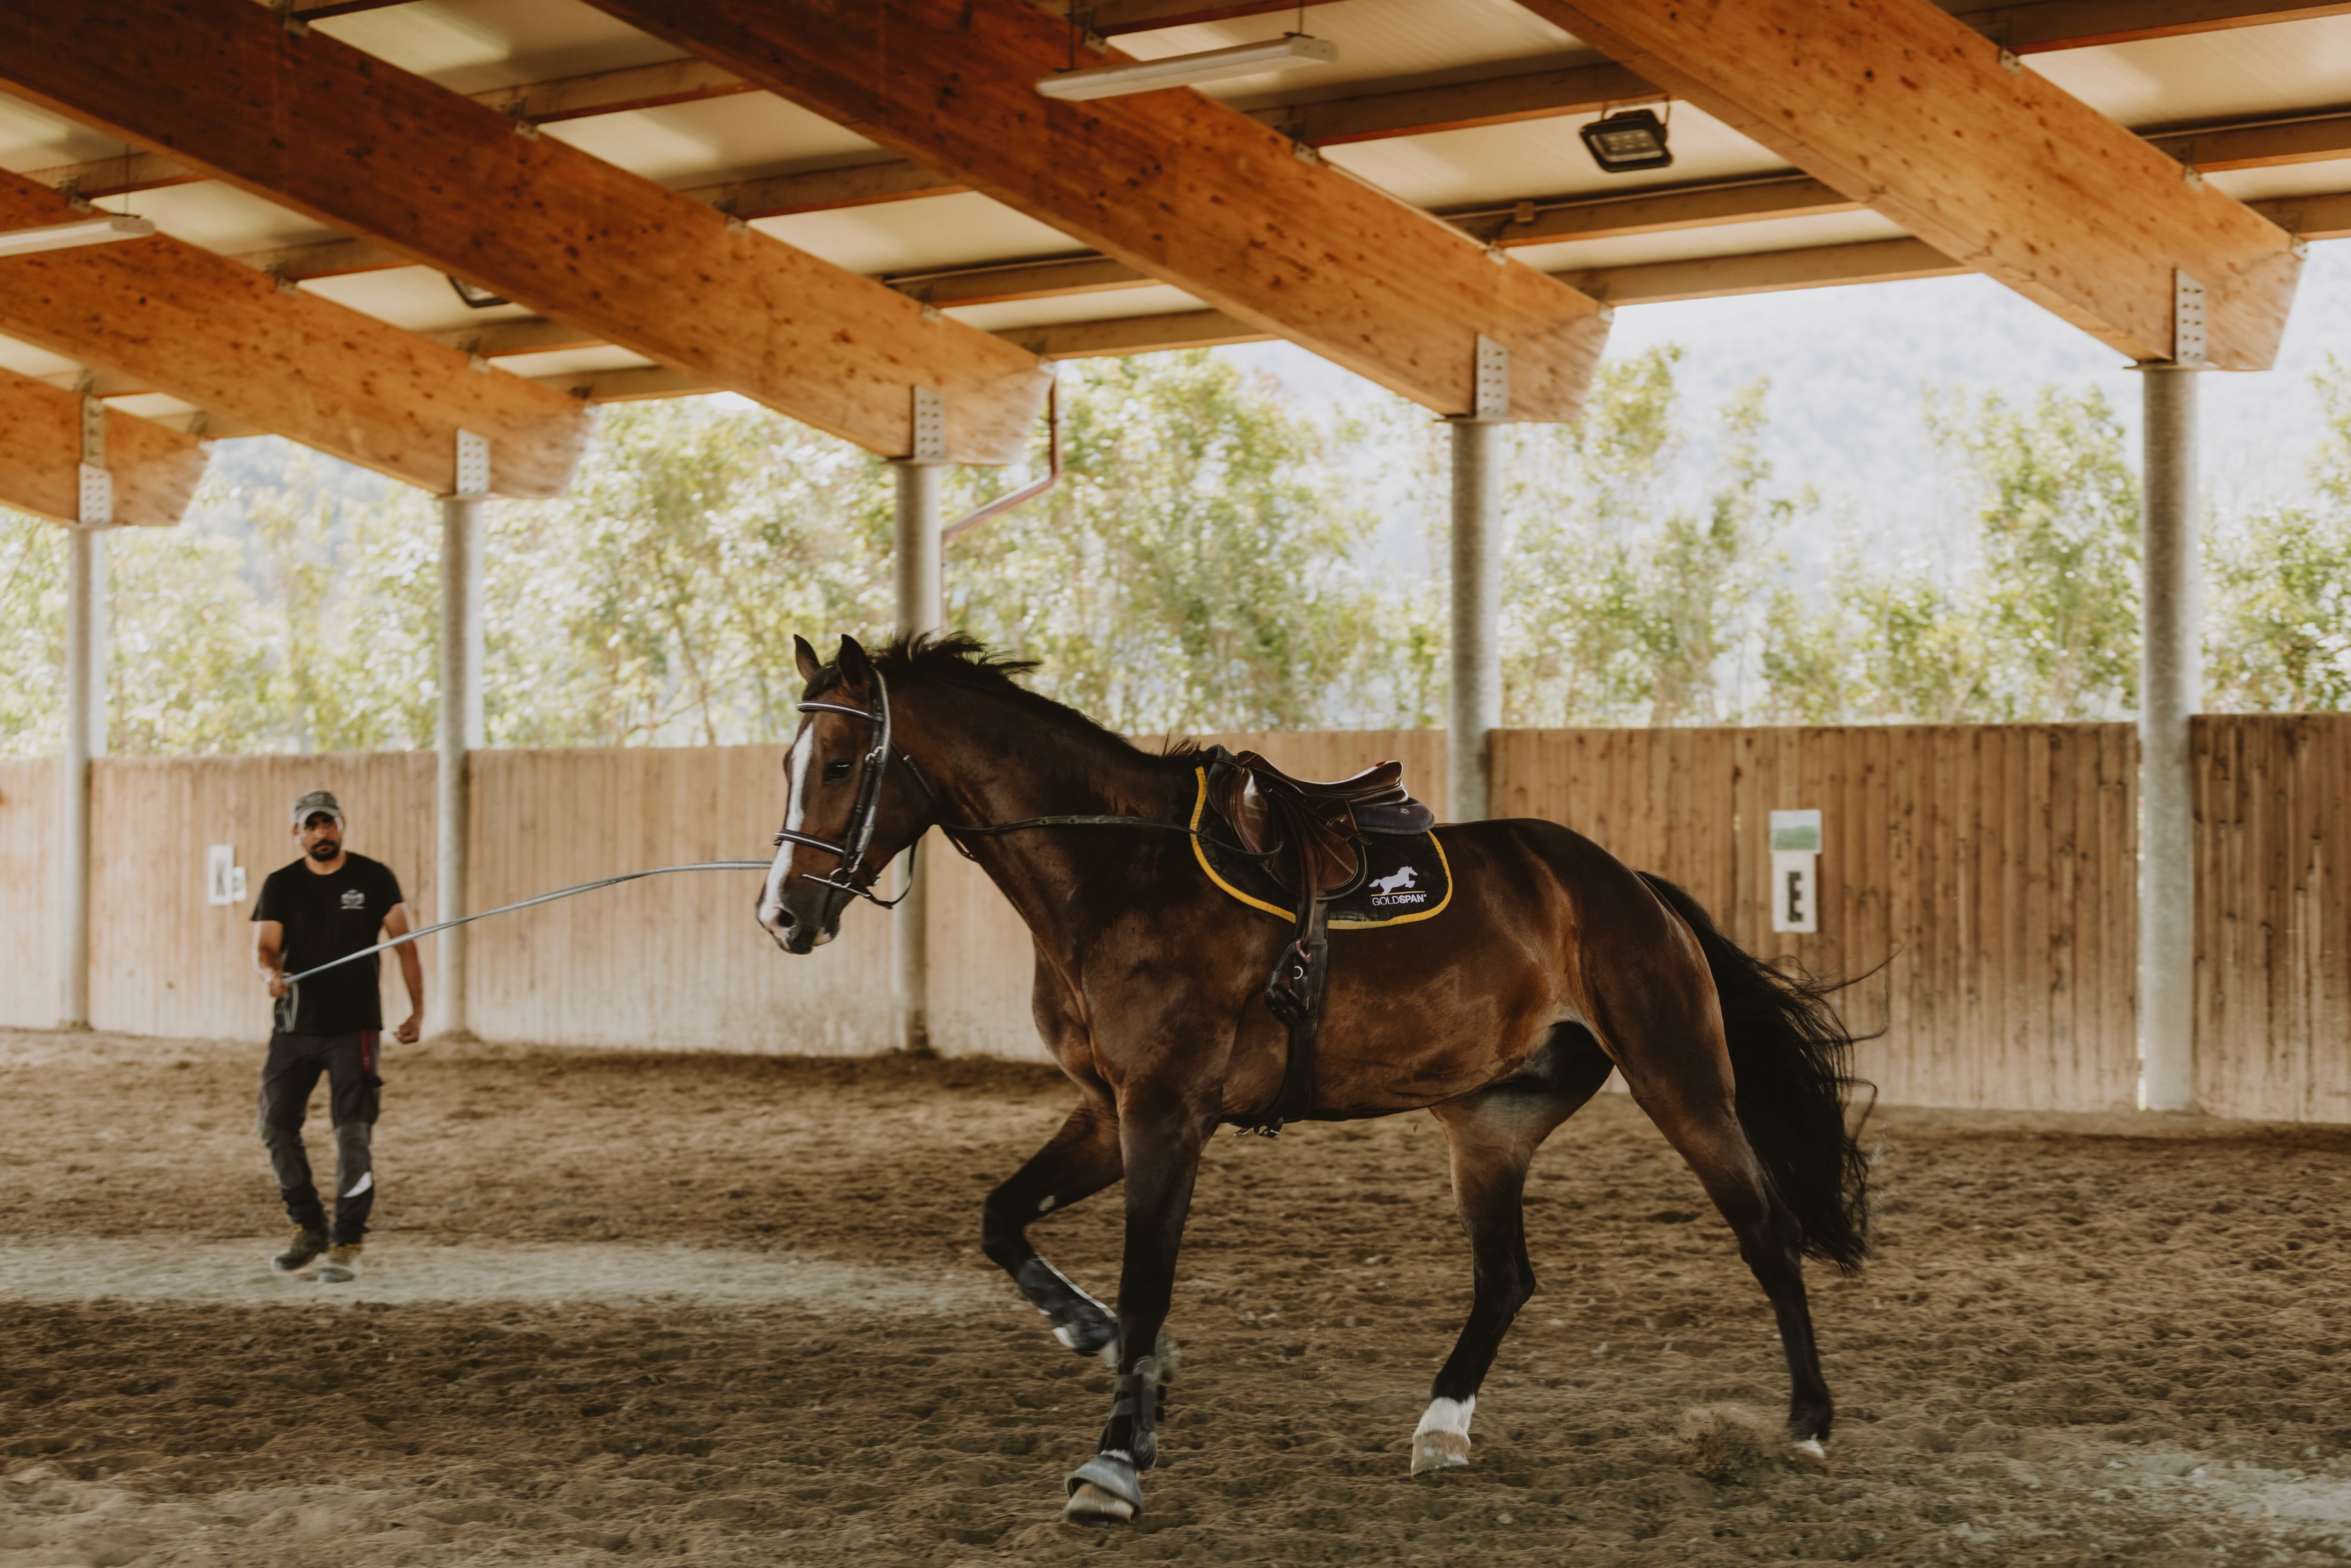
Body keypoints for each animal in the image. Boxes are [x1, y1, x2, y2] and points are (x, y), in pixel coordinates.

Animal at [758, 633, 1870, 1526]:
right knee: (1505, 1278)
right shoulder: (1105, 1110)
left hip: (1680, 1083)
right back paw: (1440, 1426)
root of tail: (1631, 886)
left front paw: (1114, 1464)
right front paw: (1093, 1335)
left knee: (1764, 1231)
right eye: (788, 763)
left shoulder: (1166, 1115)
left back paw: (1808, 1422)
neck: (1120, 876)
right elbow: (1004, 1219)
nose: (781, 914)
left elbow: (1148, 1280)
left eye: (845, 761)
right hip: (1489, 1121)